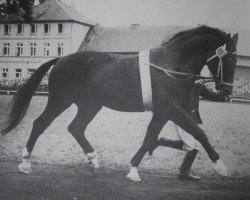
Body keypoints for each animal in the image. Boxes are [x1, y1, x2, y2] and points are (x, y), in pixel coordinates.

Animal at [1, 25, 238, 181]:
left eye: (236, 59)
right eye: (227, 58)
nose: (227, 91)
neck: (171, 66)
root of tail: (61, 58)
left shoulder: (162, 112)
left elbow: (150, 137)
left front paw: (134, 168)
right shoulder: (171, 109)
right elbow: (199, 133)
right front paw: (221, 166)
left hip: (90, 105)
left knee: (76, 127)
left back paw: (93, 159)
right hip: (61, 100)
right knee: (40, 124)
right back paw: (25, 163)